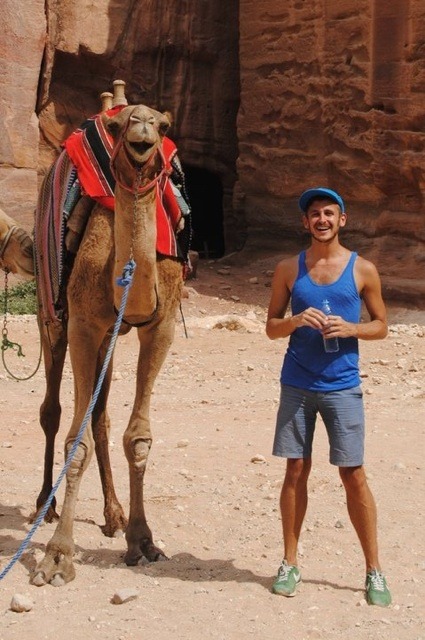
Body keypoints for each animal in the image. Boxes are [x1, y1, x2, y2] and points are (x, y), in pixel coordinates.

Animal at [30, 100, 186, 584]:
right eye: (118, 126)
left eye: (163, 125)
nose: (142, 127)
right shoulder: (83, 324)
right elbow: (73, 439)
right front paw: (57, 555)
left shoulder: (160, 327)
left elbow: (137, 436)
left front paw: (142, 539)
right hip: (50, 310)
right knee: (52, 410)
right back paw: (44, 504)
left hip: (111, 338)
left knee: (100, 415)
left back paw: (113, 514)